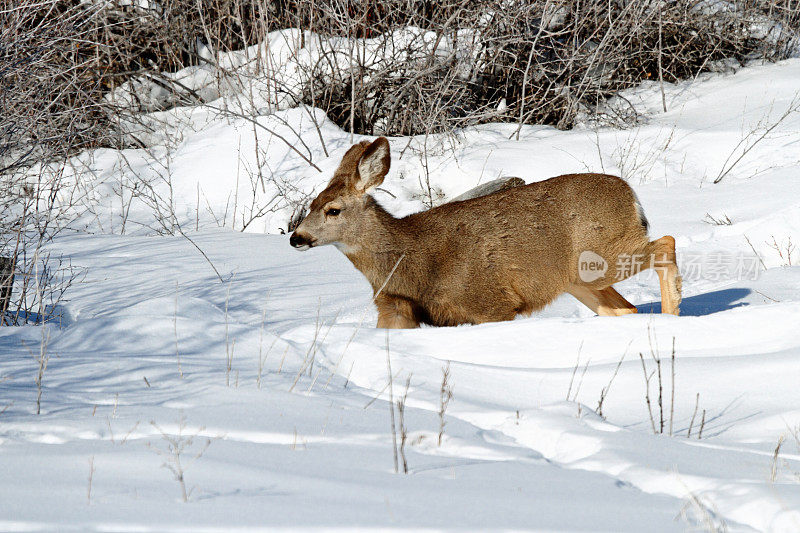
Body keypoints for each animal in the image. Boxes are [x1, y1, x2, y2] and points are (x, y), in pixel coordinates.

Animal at [290, 136, 680, 328]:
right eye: (310, 204)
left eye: (333, 210)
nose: (296, 238)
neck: (411, 260)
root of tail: (631, 195)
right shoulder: (395, 310)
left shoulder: (491, 302)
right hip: (578, 279)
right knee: (625, 309)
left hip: (600, 257)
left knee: (665, 242)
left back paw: (673, 314)